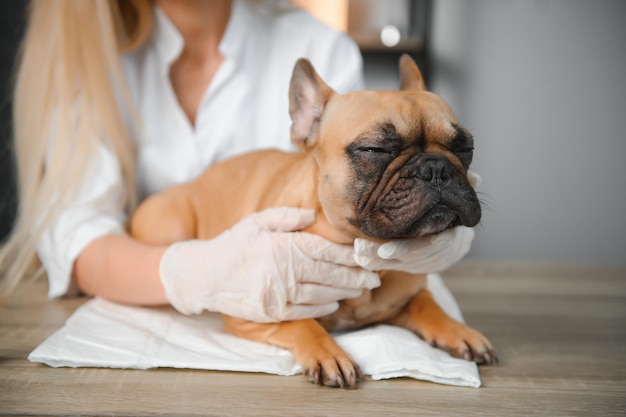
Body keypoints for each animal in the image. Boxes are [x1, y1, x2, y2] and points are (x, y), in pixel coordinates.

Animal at [130, 54, 498, 386]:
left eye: (465, 148)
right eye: (374, 150)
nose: (436, 168)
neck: (357, 250)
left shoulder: (408, 294)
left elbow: (427, 303)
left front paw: (458, 330)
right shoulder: (252, 312)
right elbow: (301, 323)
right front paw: (328, 352)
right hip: (174, 225)